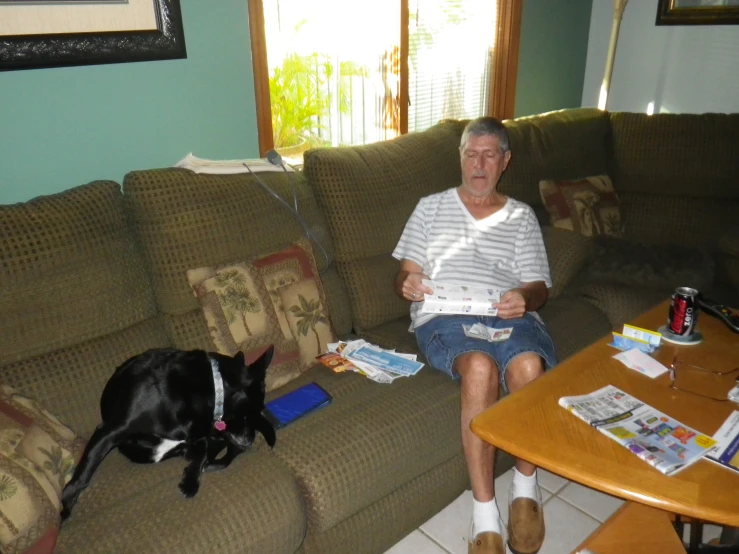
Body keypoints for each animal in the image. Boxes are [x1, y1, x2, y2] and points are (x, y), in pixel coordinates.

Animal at [61, 342, 278, 520]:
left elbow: (201, 453)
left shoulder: (194, 439)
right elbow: (83, 473)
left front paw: (190, 481)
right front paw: (65, 507)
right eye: (250, 413)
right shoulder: (110, 430)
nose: (250, 440)